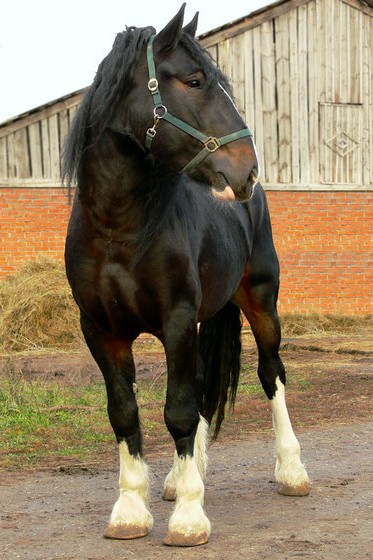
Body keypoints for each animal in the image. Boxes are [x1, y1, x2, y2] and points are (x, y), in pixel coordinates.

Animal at [63, 3, 308, 548]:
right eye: (195, 81)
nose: (246, 172)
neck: (119, 227)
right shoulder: (102, 331)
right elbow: (126, 412)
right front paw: (131, 510)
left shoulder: (176, 320)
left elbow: (176, 409)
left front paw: (190, 519)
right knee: (198, 391)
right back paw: (179, 479)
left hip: (261, 302)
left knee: (271, 375)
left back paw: (291, 471)